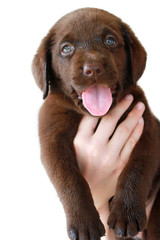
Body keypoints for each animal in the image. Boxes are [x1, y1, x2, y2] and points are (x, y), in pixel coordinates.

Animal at [32, 7, 160, 240]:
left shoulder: (147, 130)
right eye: (66, 48)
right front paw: (84, 224)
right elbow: (70, 180)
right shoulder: (52, 141)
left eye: (110, 41)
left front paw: (127, 214)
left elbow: (136, 170)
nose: (93, 68)